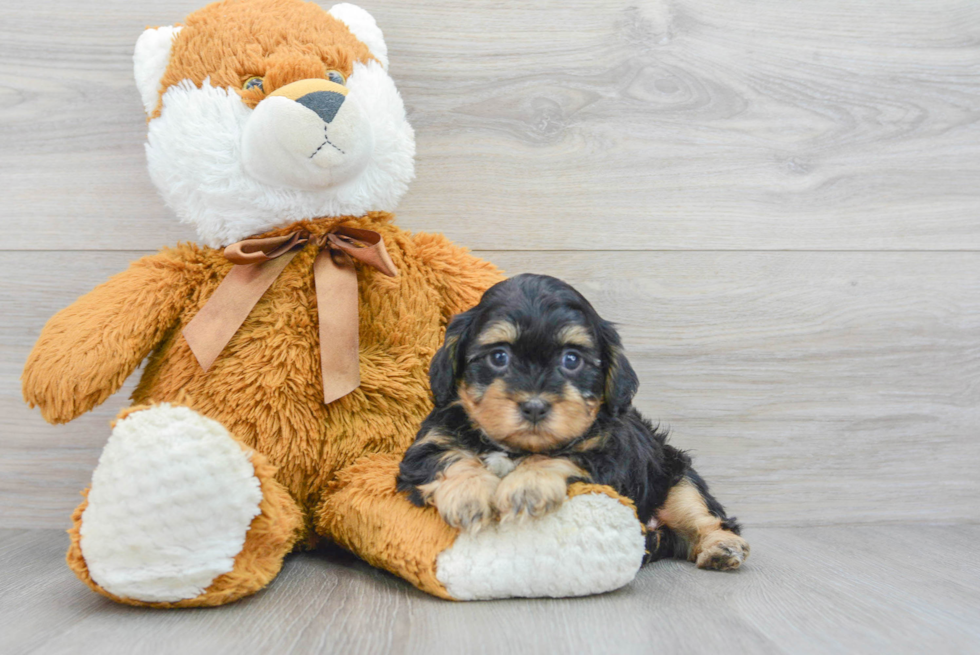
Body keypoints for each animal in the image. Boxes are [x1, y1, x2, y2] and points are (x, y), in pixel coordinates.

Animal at [398, 272, 752, 568]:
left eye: (571, 359)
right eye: (498, 356)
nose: (535, 406)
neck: (515, 448)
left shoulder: (609, 455)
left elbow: (564, 456)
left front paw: (527, 485)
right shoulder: (428, 444)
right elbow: (449, 457)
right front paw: (469, 495)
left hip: (676, 476)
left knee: (702, 516)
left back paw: (721, 548)